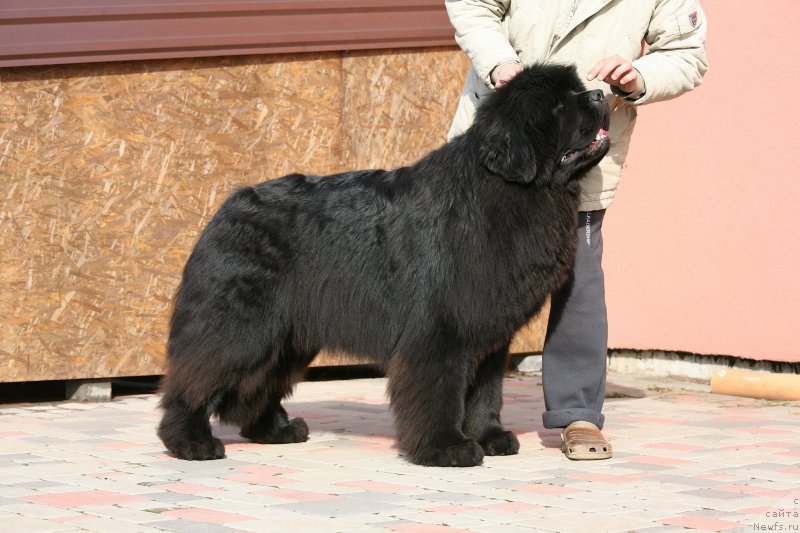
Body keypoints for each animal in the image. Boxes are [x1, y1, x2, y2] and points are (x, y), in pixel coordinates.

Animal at [159, 63, 608, 466]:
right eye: (557, 105)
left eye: (578, 88)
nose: (602, 95)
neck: (509, 190)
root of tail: (226, 207)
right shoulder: (440, 329)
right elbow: (439, 392)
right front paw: (447, 448)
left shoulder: (489, 333)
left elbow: (486, 392)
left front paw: (490, 437)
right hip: (239, 326)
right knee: (196, 378)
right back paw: (190, 442)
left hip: (287, 336)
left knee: (256, 387)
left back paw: (276, 430)